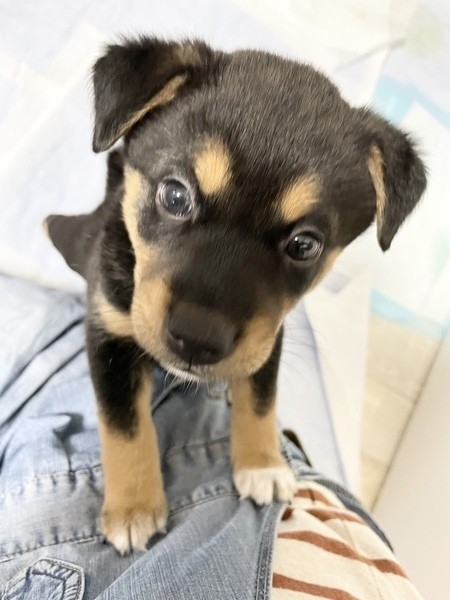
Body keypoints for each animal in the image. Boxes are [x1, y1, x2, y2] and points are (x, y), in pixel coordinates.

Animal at [45, 37, 426, 555]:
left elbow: (261, 397)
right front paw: (133, 508)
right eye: (175, 195)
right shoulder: (109, 334)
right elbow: (124, 424)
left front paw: (262, 464)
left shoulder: (269, 334)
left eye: (305, 245)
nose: (198, 339)